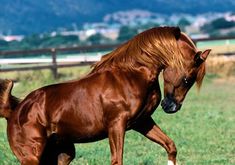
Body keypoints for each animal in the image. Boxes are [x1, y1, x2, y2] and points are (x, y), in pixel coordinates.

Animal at [0, 26, 211, 164]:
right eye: (188, 79)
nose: (171, 107)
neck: (131, 75)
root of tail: (14, 111)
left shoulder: (142, 122)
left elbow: (170, 146)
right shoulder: (116, 125)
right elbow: (117, 160)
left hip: (63, 153)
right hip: (32, 157)